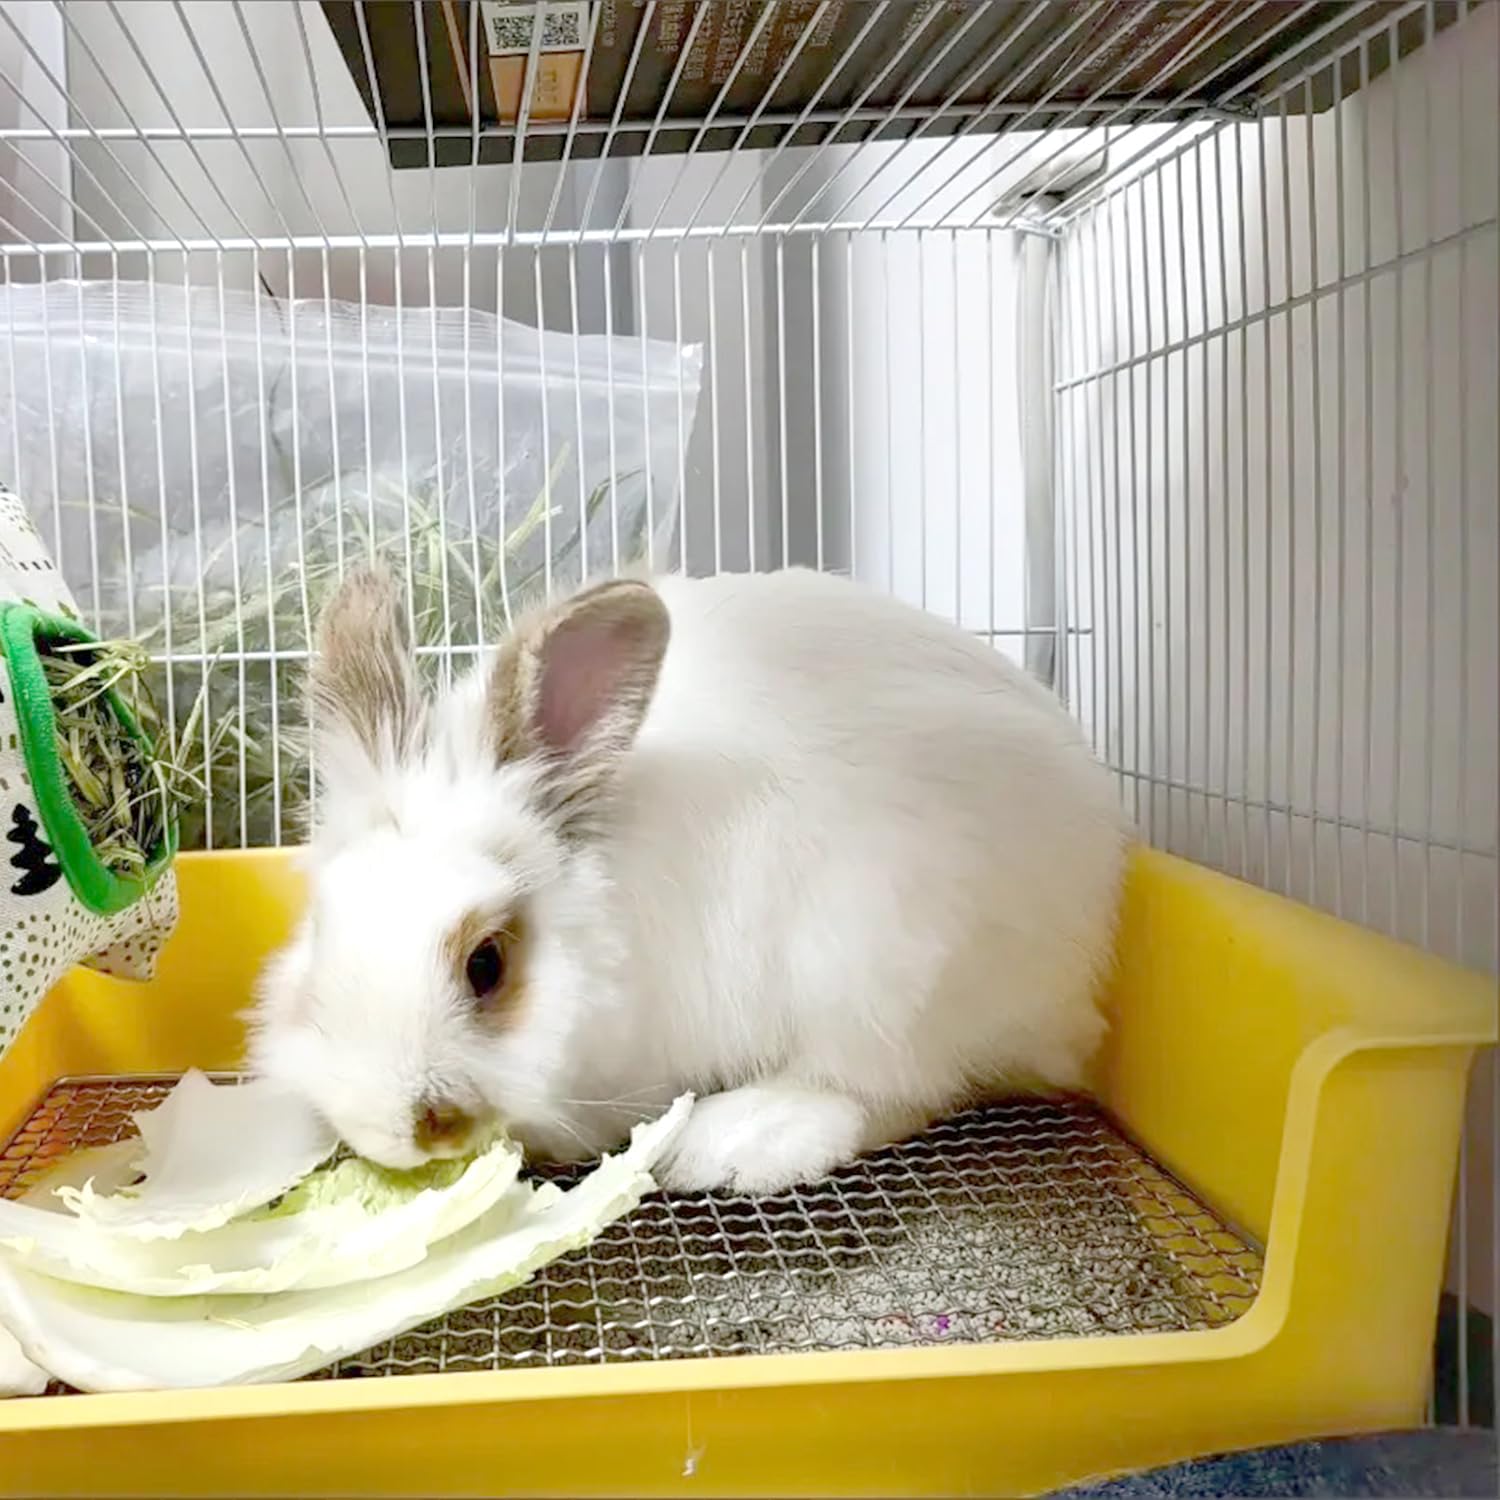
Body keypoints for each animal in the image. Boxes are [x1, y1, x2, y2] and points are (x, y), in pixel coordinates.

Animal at [247, 564, 1130, 1195]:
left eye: (486, 964)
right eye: (320, 942)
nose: (400, 1126)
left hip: (882, 973)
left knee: (897, 1088)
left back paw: (740, 1142)